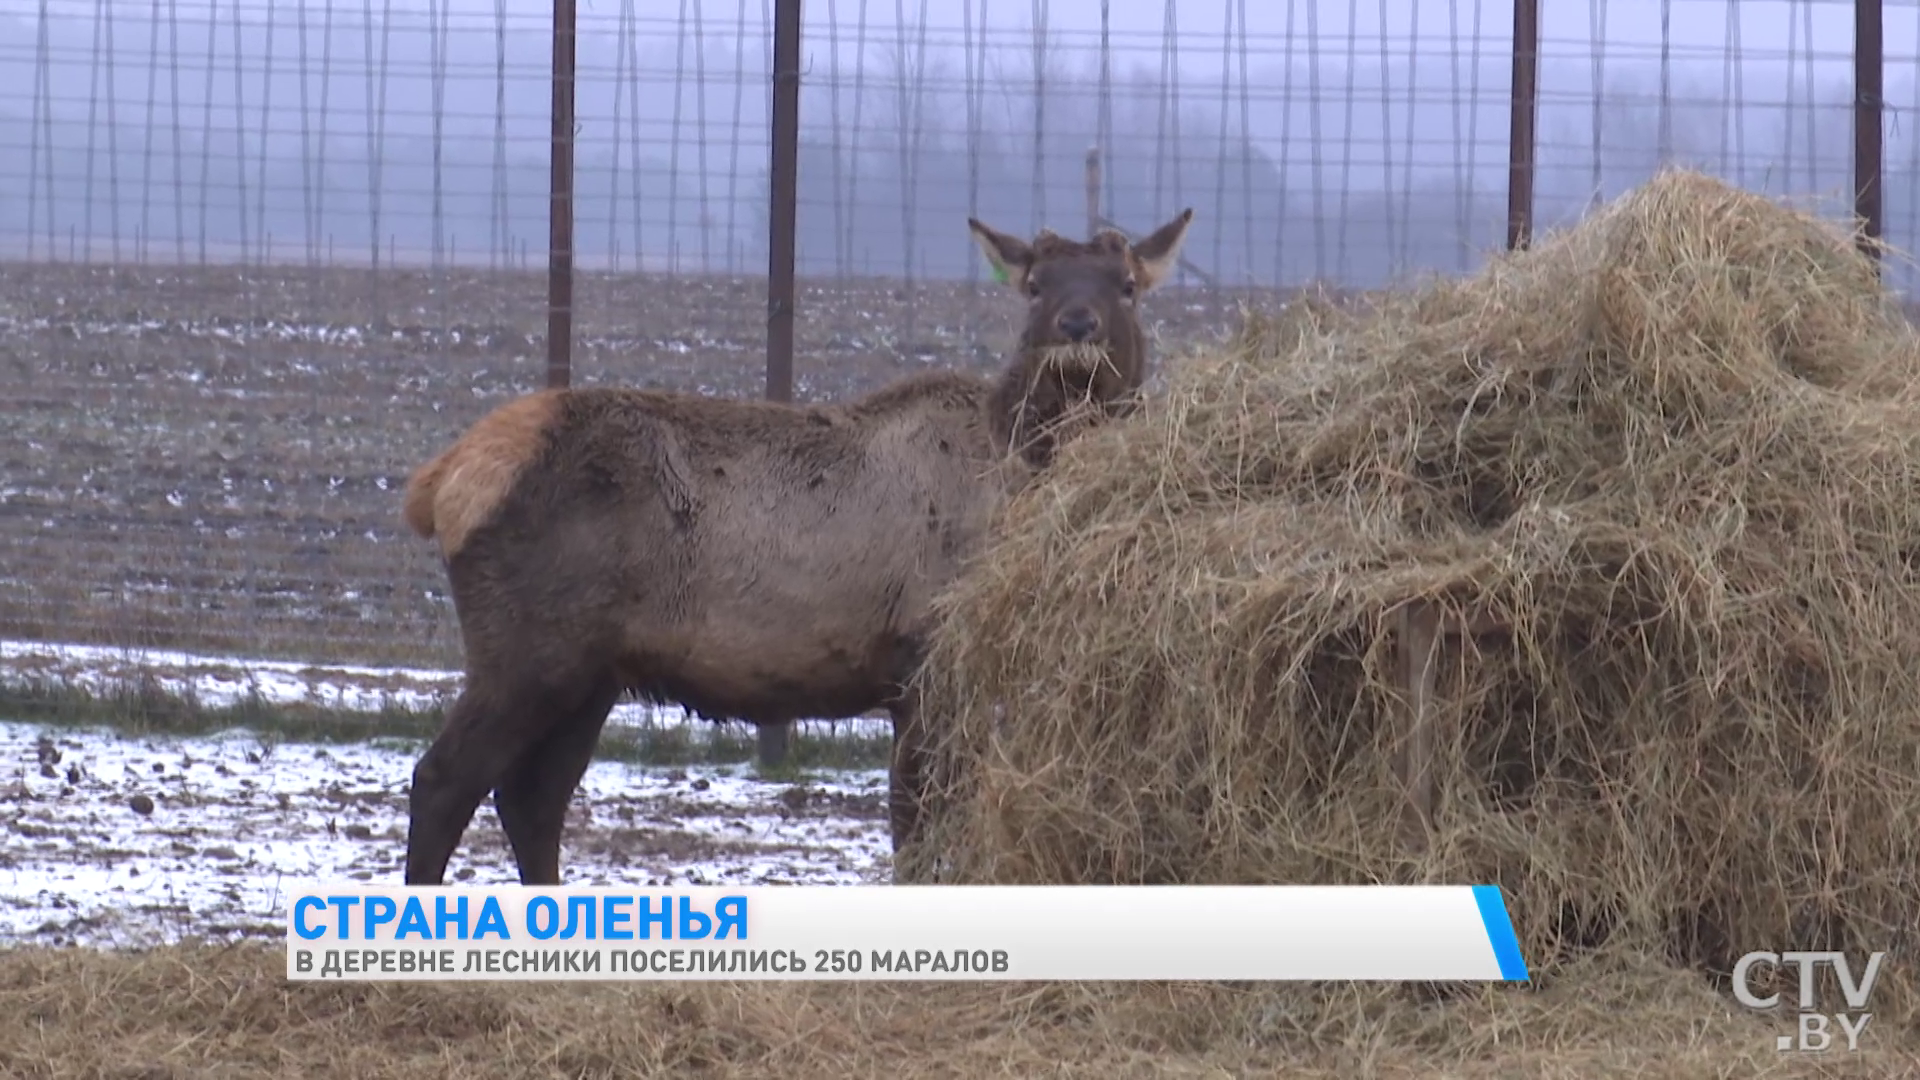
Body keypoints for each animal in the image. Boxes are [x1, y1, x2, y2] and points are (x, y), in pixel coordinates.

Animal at [397, 205, 1190, 880]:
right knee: (444, 779)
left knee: (531, 800)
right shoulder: (927, 657)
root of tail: (439, 482)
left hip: (591, 672)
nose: (1077, 325)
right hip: (528, 649)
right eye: (1034, 286)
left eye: (1126, 285)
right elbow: (916, 824)